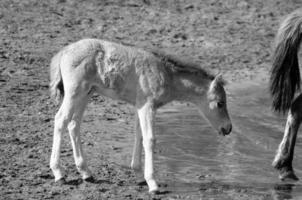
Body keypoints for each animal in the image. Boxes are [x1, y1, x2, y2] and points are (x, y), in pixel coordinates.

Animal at [50, 38, 234, 193]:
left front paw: (139, 175)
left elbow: (139, 135)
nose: (228, 128)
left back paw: (86, 173)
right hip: (75, 92)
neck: (167, 75)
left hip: (86, 94)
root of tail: (63, 52)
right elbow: (150, 139)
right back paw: (59, 173)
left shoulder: (140, 106)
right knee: (60, 120)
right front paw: (152, 183)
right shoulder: (147, 106)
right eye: (220, 103)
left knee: (74, 124)